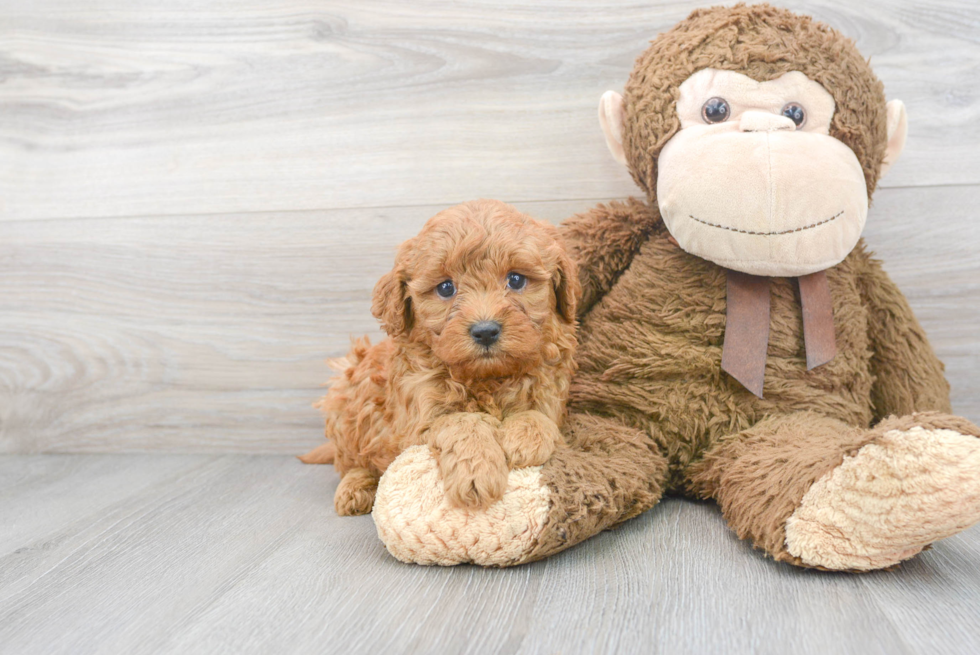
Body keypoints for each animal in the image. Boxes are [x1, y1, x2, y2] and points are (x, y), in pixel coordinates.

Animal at [302, 197, 580, 516]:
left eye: (516, 280)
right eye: (446, 288)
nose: (485, 331)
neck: (486, 379)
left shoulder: (551, 394)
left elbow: (539, 415)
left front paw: (525, 437)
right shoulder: (415, 425)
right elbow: (461, 422)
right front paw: (477, 471)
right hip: (347, 394)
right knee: (352, 460)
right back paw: (355, 487)